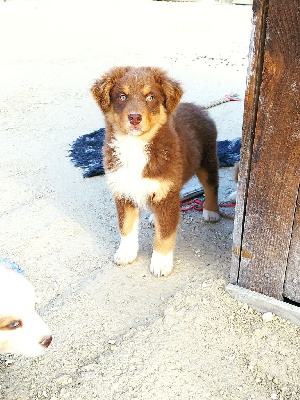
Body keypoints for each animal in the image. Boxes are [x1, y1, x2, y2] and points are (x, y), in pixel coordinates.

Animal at [90, 67, 219, 276]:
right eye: (122, 96)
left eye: (150, 97)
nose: (135, 117)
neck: (135, 146)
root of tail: (198, 107)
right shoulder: (124, 191)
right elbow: (126, 227)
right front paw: (126, 254)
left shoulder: (167, 193)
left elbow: (164, 235)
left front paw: (160, 263)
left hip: (207, 160)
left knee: (211, 186)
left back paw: (211, 211)